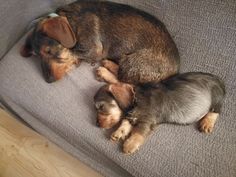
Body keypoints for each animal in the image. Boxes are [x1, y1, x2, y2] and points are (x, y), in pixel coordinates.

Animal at [19, 0, 179, 83]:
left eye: (49, 51)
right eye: (37, 56)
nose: (48, 80)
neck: (70, 22)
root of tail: (176, 68)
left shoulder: (93, 49)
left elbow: (74, 53)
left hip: (133, 62)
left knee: (125, 81)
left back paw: (105, 70)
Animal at [93, 72, 225, 153]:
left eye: (101, 107)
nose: (97, 124)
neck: (136, 99)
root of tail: (220, 81)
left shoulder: (147, 120)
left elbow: (138, 132)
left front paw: (130, 145)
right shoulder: (131, 117)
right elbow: (125, 123)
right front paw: (119, 132)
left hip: (216, 98)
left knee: (215, 111)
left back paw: (207, 123)